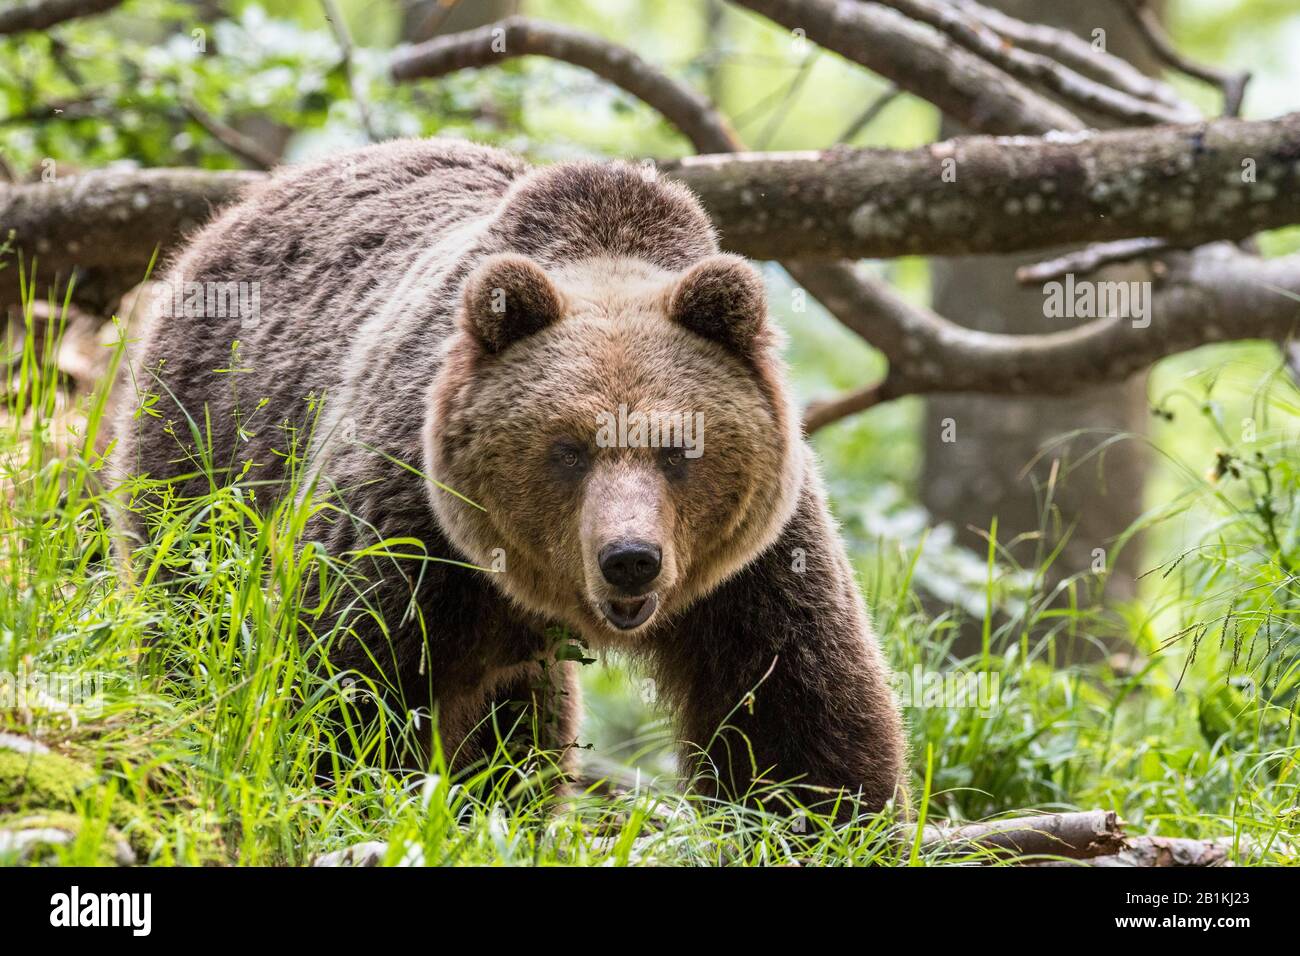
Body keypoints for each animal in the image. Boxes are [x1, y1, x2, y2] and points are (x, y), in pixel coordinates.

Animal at [111, 138, 904, 816]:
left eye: (679, 449)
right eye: (569, 449)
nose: (631, 560)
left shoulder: (752, 565)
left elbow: (796, 718)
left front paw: (819, 817)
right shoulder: (414, 522)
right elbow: (346, 680)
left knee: (523, 726)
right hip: (205, 447)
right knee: (191, 606)